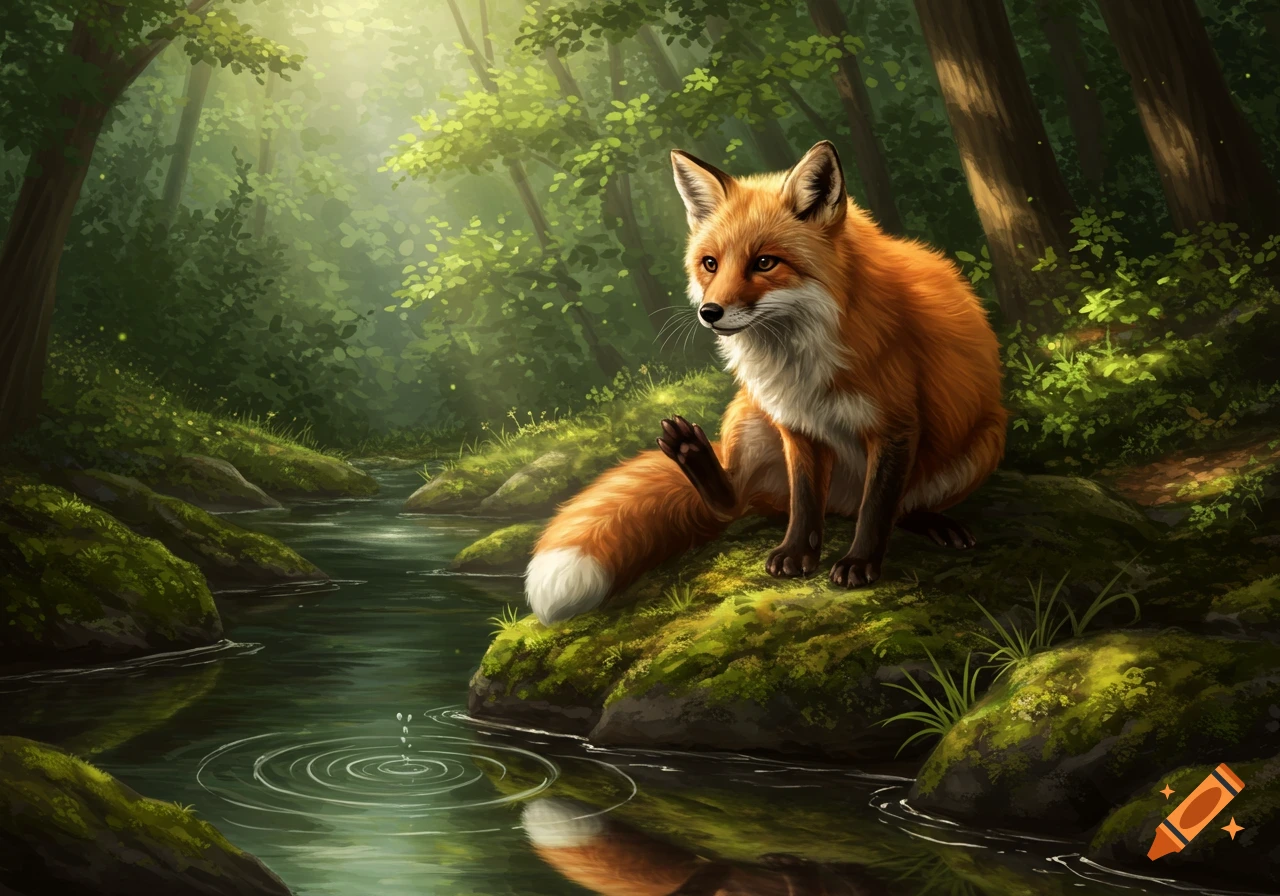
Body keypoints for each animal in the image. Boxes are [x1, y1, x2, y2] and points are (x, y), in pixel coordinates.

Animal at [525, 140, 1006, 625]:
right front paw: (797, 553)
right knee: (739, 502)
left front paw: (859, 562)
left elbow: (878, 506)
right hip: (748, 418)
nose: (709, 312)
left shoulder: (896, 426)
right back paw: (694, 455)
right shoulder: (796, 425)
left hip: (981, 447)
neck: (801, 358)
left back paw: (933, 522)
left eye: (764, 263)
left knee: (890, 506)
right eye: (710, 264)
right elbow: (804, 502)